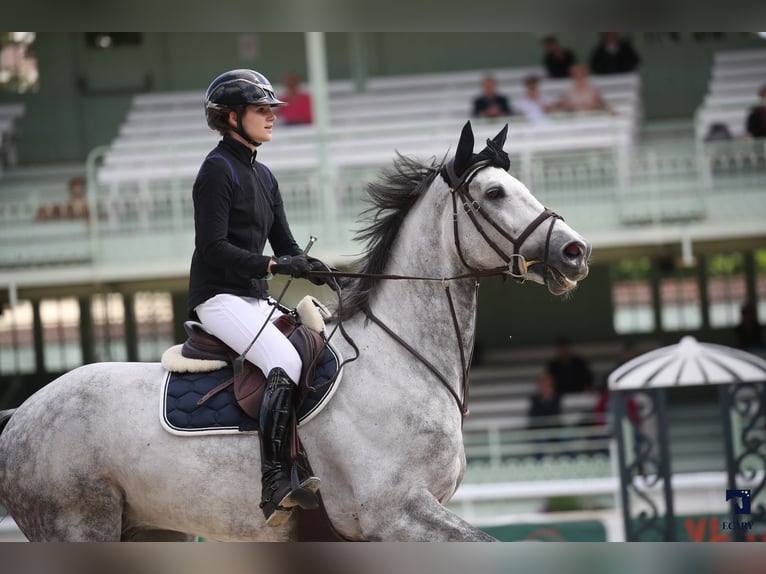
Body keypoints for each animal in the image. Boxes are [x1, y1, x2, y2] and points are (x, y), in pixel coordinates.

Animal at [0, 122, 592, 544]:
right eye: (493, 193)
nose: (575, 251)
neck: (401, 361)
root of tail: (23, 411)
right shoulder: (395, 512)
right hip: (80, 523)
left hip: (150, 528)